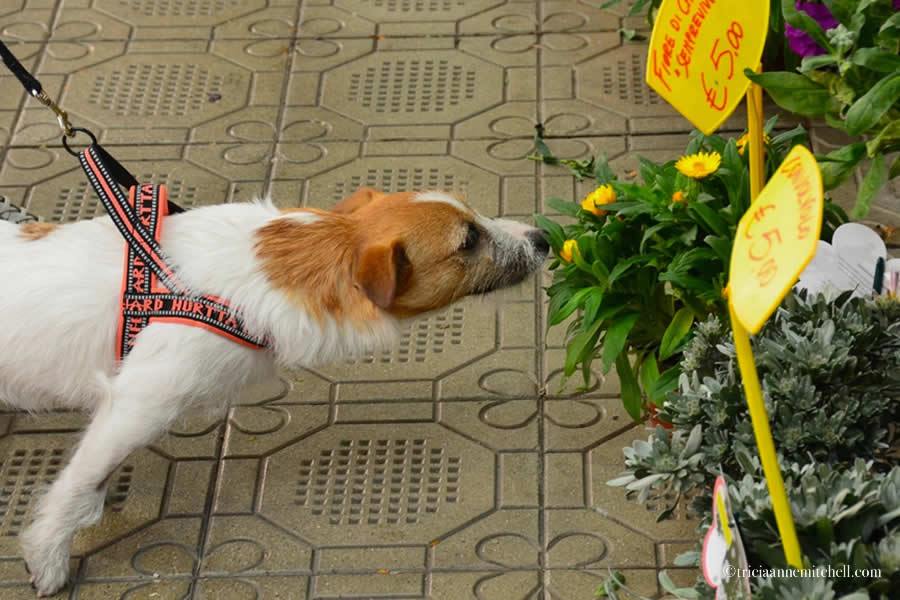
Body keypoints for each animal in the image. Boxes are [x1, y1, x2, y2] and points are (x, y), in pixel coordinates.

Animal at [0, 189, 548, 596]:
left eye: (474, 216)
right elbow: (78, 484)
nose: (542, 238)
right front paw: (48, 555)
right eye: (468, 240)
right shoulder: (138, 403)